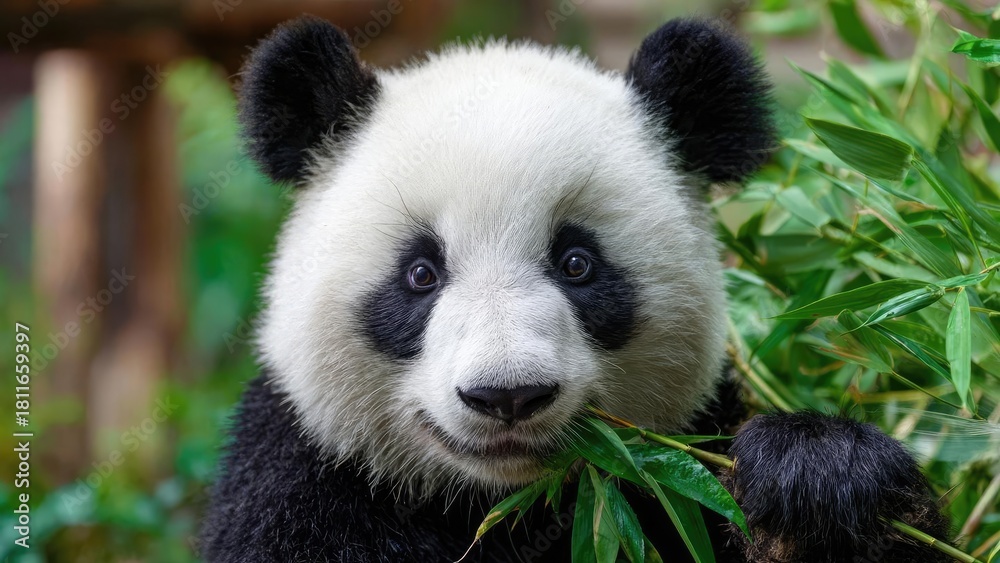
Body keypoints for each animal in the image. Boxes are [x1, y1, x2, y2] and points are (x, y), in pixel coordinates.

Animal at [200, 16, 950, 563]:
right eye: (420, 274)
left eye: (578, 263)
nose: (507, 396)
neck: (501, 504)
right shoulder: (299, 478)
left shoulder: (682, 464)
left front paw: (816, 478)